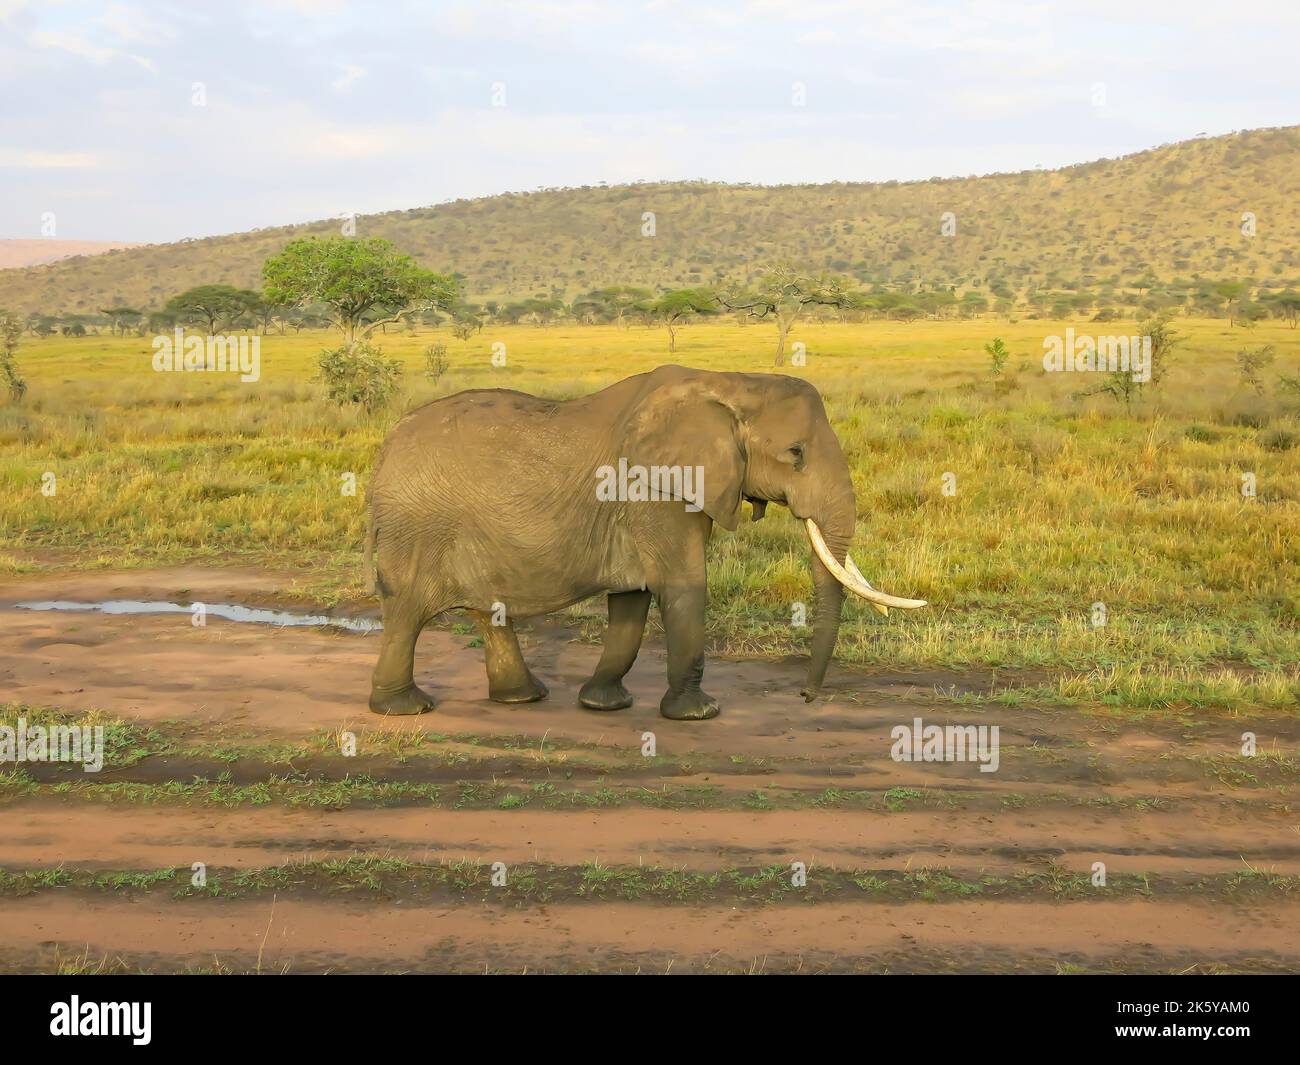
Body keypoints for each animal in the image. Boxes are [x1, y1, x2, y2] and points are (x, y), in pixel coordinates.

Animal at [366, 366, 925, 723]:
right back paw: (405, 708)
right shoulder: (654, 490)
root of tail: (385, 448)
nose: (806, 697)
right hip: (417, 527)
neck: (731, 381)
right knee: (408, 610)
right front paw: (700, 714)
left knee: (487, 609)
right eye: (795, 452)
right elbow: (682, 585)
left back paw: (521, 699)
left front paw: (604, 706)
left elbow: (632, 599)